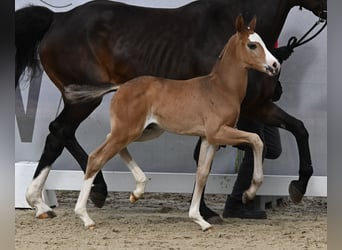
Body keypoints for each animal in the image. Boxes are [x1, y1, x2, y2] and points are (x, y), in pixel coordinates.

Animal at [71, 15, 280, 230]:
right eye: (252, 45)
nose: (275, 65)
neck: (221, 88)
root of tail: (120, 87)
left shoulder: (209, 139)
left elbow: (202, 174)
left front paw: (199, 219)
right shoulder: (218, 132)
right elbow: (256, 140)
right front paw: (249, 193)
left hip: (144, 131)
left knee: (113, 145)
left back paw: (137, 191)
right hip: (128, 131)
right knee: (96, 157)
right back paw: (85, 217)